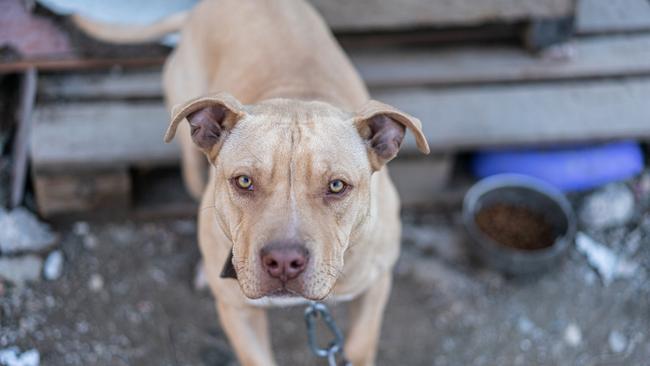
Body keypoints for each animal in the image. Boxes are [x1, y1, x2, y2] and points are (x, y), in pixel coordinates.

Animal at [73, 1, 428, 364]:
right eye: (244, 181)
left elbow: (359, 345)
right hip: (191, 164)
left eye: (337, 186)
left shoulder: (376, 284)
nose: (284, 262)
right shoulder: (237, 311)